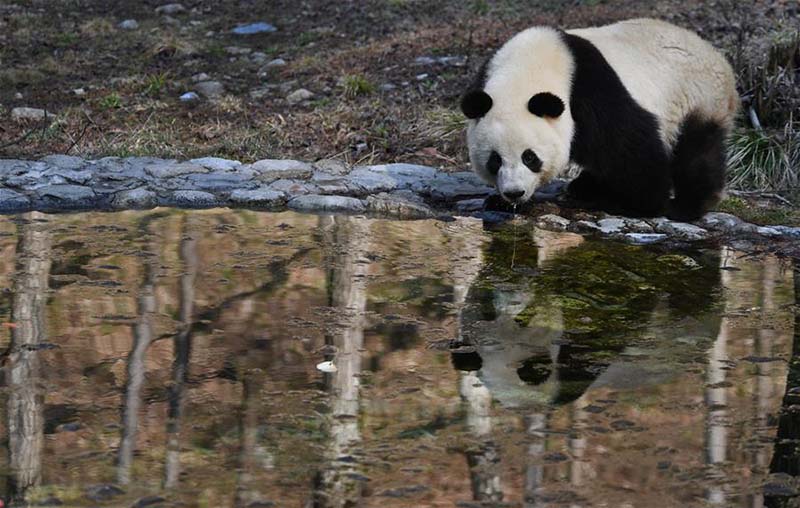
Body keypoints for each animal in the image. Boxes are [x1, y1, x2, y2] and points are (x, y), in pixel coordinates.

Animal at [461, 18, 739, 221]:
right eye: (495, 160)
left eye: (530, 157)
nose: (514, 192)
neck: (526, 71)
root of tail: (721, 61)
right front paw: (498, 201)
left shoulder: (591, 91)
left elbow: (630, 146)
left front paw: (644, 204)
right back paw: (584, 186)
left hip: (698, 99)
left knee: (696, 153)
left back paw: (686, 206)